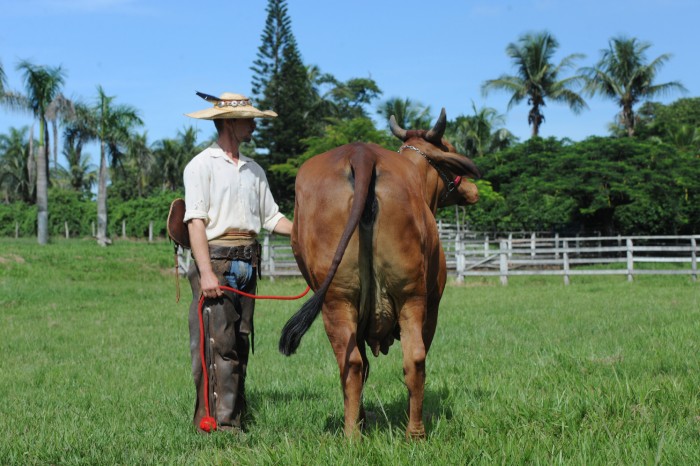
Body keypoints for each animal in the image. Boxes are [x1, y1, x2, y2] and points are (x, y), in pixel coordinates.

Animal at [278, 108, 482, 436]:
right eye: (449, 147)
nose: (472, 190)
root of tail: (362, 155)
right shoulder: (433, 304)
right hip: (411, 297)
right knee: (411, 359)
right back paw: (409, 432)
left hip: (341, 300)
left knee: (355, 363)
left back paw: (360, 434)